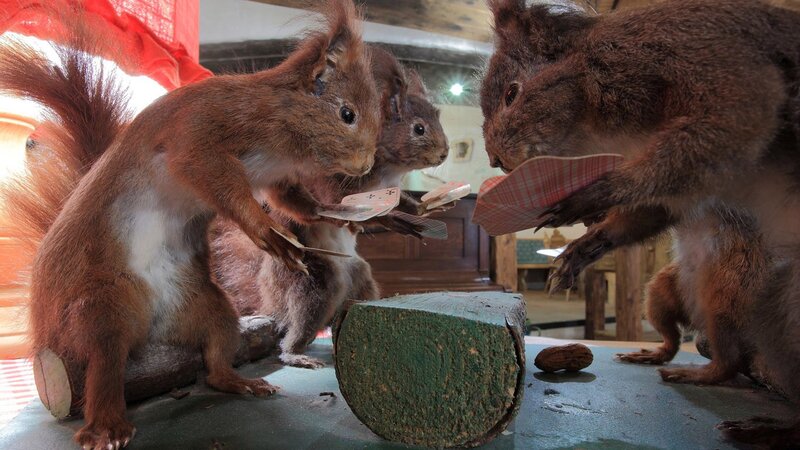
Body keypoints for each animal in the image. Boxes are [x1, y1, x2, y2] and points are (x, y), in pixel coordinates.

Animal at [0, 1, 379, 448]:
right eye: (347, 113)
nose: (367, 165)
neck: (281, 131)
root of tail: (149, 330)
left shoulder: (278, 175)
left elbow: (292, 200)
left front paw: (327, 211)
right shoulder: (200, 131)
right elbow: (214, 178)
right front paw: (269, 232)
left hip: (206, 305)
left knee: (214, 355)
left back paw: (238, 382)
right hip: (99, 305)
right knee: (103, 363)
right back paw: (106, 426)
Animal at [210, 46, 449, 369]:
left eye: (438, 118)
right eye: (419, 129)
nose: (445, 152)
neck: (389, 169)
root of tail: (269, 296)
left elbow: (396, 205)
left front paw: (419, 211)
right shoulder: (332, 183)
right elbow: (346, 207)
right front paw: (391, 220)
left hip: (360, 279)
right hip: (316, 284)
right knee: (295, 328)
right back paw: (297, 354)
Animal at [481, 0, 800, 445]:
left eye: (512, 94)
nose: (493, 160)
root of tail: (700, 318)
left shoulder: (708, 61)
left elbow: (727, 126)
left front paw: (596, 193)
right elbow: (654, 209)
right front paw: (581, 250)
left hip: (742, 299)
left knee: (732, 361)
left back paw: (754, 417)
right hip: (662, 293)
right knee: (679, 339)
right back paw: (654, 355)